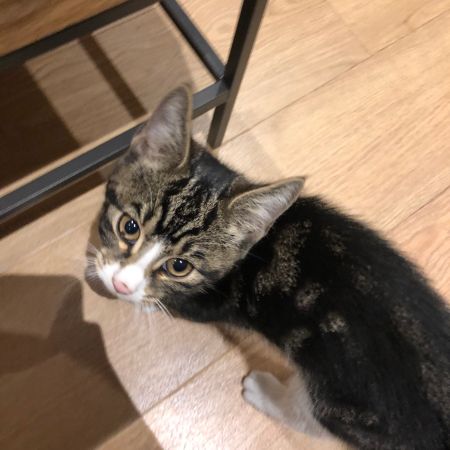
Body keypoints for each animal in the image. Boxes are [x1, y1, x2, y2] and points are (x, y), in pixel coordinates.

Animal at [93, 85, 450, 449]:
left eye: (179, 266)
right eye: (129, 227)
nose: (121, 284)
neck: (250, 248)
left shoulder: (216, 302)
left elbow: (180, 302)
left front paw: (147, 301)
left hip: (348, 406)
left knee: (316, 419)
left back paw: (266, 394)